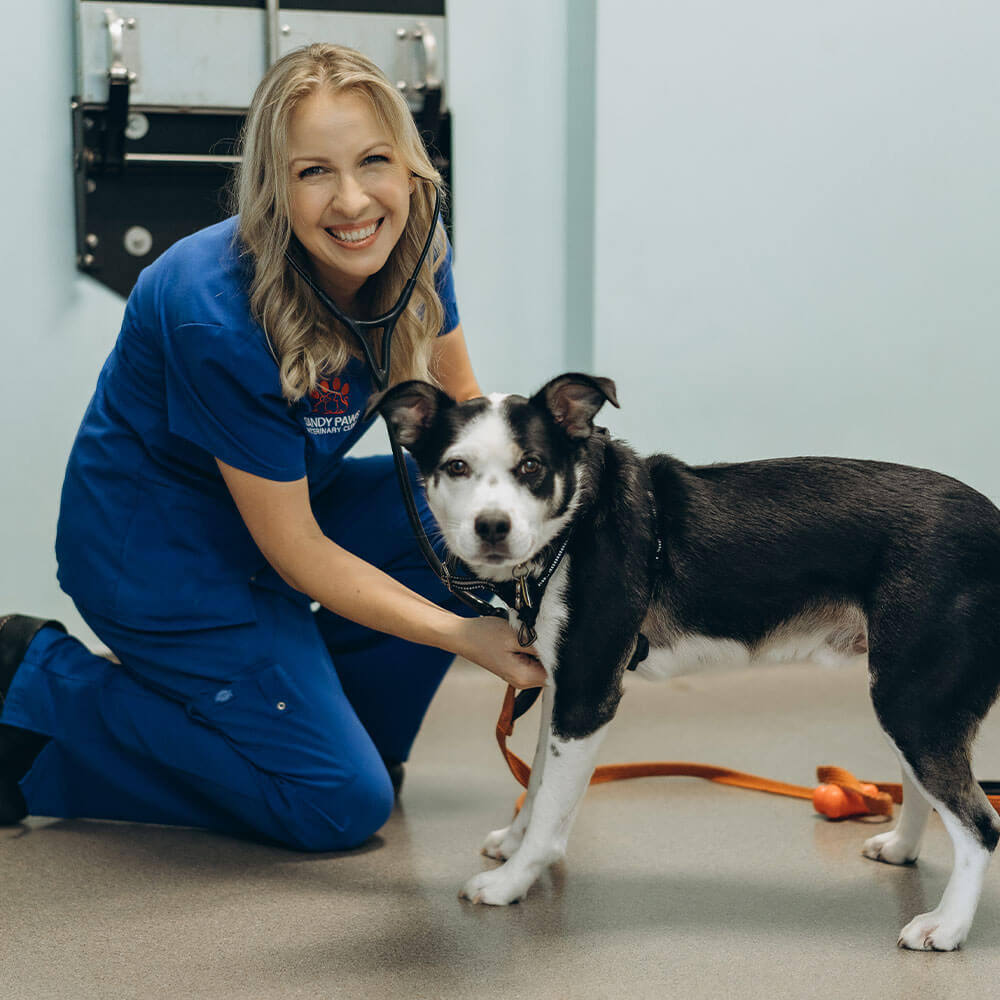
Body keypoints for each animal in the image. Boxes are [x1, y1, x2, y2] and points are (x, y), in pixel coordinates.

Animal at [368, 376, 1000, 952]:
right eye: (456, 467)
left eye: (531, 467)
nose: (492, 526)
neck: (577, 523)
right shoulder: (559, 687)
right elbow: (540, 781)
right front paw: (514, 843)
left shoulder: (587, 696)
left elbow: (550, 812)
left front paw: (510, 883)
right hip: (906, 691)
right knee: (922, 785)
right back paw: (902, 849)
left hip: (912, 698)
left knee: (979, 824)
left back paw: (947, 926)